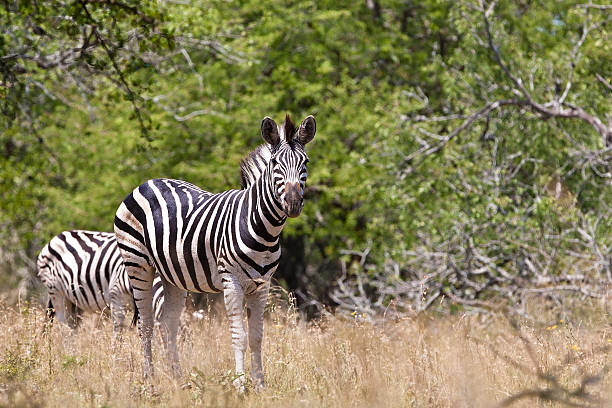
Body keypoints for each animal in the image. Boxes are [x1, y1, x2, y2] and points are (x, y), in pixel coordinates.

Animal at [113, 113, 316, 388]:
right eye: (275, 163)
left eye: (305, 162)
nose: (293, 204)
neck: (263, 229)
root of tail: (147, 182)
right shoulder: (231, 281)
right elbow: (239, 336)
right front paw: (240, 384)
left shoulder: (262, 285)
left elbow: (257, 337)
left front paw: (260, 385)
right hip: (137, 264)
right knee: (145, 325)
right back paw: (150, 380)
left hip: (172, 275)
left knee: (168, 324)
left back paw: (177, 380)